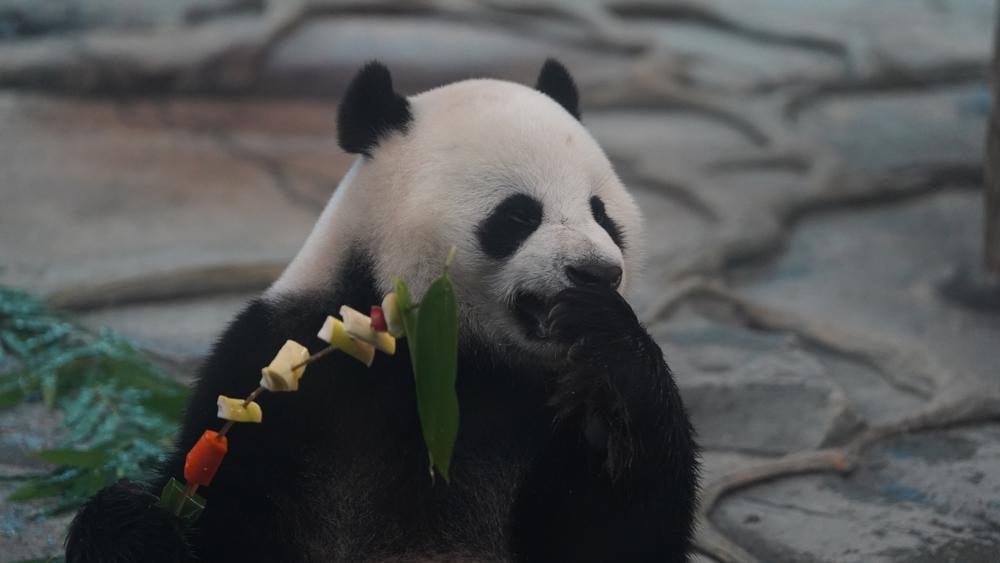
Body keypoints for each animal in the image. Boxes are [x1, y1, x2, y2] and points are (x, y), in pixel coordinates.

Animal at [66, 59, 700, 560]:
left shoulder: (541, 403)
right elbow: (221, 513)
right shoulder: (275, 360)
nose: (598, 273)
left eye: (602, 213)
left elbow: (618, 535)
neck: (450, 354)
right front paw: (133, 524)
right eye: (519, 215)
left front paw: (606, 341)